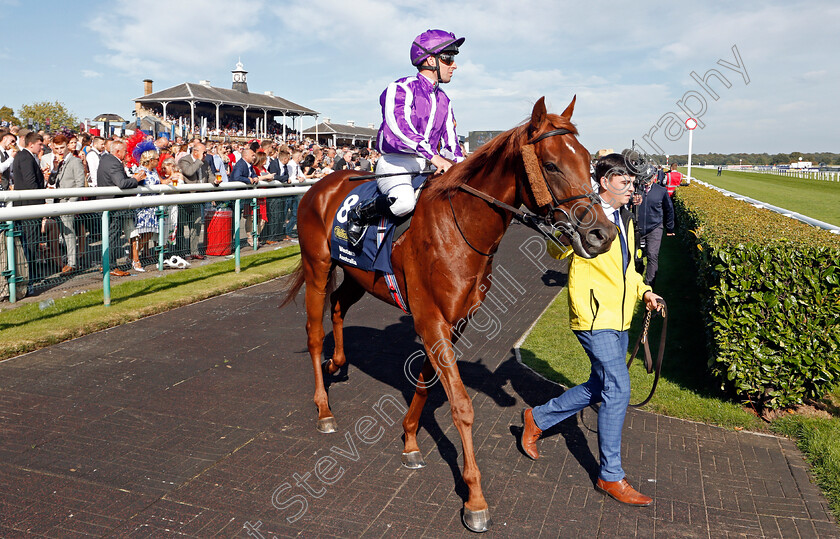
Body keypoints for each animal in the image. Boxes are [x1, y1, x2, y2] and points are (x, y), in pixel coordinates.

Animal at [278, 96, 612, 532]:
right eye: (552, 165)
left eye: (589, 160)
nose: (602, 234)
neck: (459, 229)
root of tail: (320, 186)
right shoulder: (431, 319)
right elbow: (461, 405)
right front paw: (474, 499)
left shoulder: (452, 321)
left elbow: (425, 383)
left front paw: (409, 441)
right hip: (317, 265)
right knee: (314, 330)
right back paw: (323, 408)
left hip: (357, 276)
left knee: (337, 306)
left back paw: (339, 362)